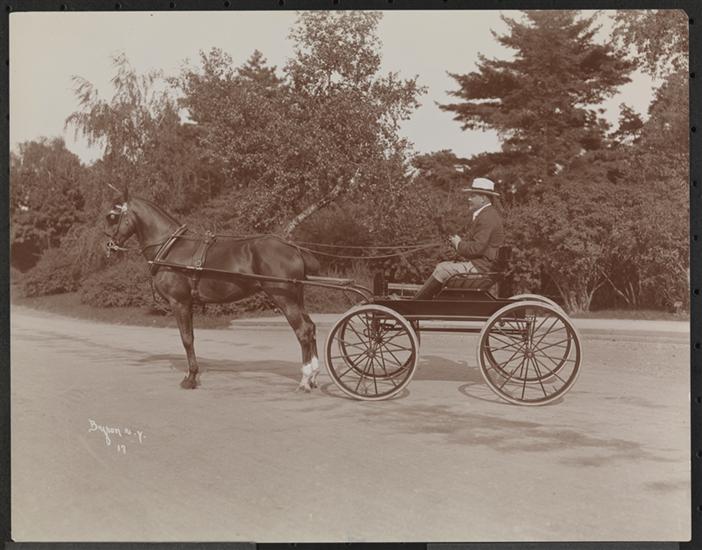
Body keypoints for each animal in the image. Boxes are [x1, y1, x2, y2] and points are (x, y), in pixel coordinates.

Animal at [103, 190, 321, 392]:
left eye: (113, 216)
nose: (109, 245)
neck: (171, 248)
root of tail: (293, 248)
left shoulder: (179, 302)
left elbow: (186, 339)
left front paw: (190, 378)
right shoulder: (188, 303)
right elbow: (190, 337)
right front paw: (192, 374)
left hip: (284, 299)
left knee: (303, 330)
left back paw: (305, 380)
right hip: (297, 297)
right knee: (311, 328)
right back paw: (314, 375)